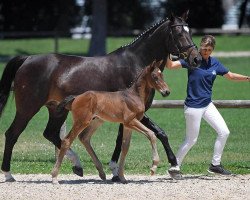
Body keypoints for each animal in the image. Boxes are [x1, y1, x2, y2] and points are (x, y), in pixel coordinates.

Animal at [0, 11, 200, 183]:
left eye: (190, 31)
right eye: (178, 33)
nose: (196, 59)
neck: (136, 62)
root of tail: (26, 59)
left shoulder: (129, 114)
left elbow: (129, 139)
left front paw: (116, 171)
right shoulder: (134, 113)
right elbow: (158, 133)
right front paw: (173, 167)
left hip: (56, 110)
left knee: (51, 134)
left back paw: (78, 166)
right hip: (27, 108)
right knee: (12, 134)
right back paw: (8, 174)